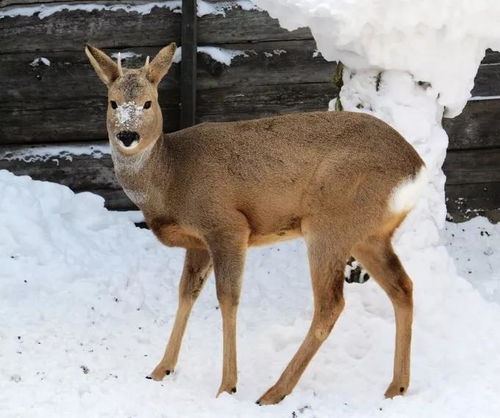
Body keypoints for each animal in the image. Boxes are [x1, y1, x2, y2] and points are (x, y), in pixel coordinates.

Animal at [86, 43, 426, 404]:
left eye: (149, 102)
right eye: (113, 102)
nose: (127, 134)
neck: (171, 177)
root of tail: (416, 170)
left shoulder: (227, 225)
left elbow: (227, 298)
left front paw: (227, 385)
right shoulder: (198, 243)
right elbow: (186, 293)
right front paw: (160, 369)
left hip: (330, 223)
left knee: (331, 304)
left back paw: (274, 392)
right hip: (370, 234)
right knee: (402, 287)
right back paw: (396, 387)